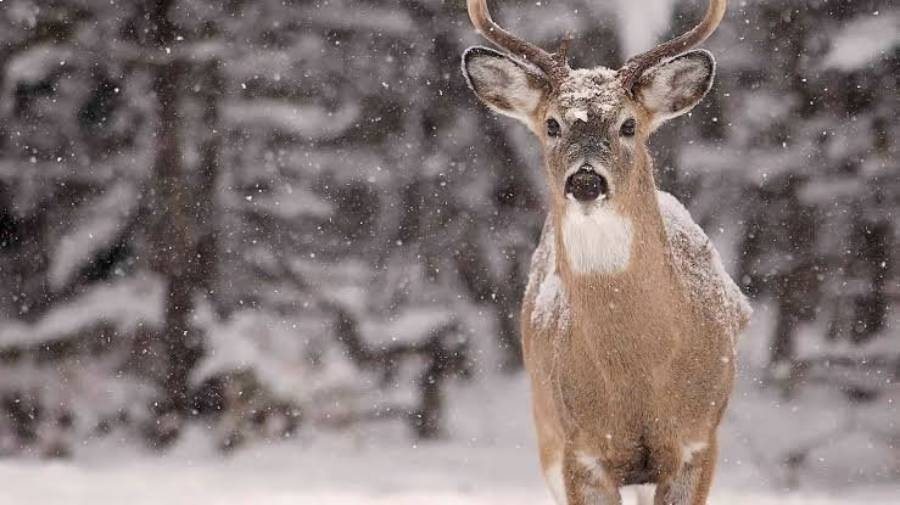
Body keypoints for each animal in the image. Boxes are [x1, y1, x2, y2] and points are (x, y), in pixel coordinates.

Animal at [460, 0, 752, 504]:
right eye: (552, 124)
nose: (585, 181)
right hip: (545, 430)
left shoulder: (698, 440)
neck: (639, 376)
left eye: (628, 124)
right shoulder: (579, 451)